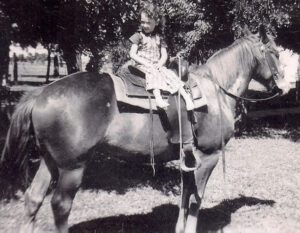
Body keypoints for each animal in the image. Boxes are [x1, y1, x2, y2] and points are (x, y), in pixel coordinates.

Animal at [1, 26, 290, 232]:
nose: (285, 86)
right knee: (60, 205)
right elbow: (196, 200)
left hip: (50, 161)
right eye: (275, 54)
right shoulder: (208, 156)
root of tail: (41, 93)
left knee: (33, 199)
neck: (216, 89)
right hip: (72, 167)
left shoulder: (189, 159)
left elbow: (185, 196)